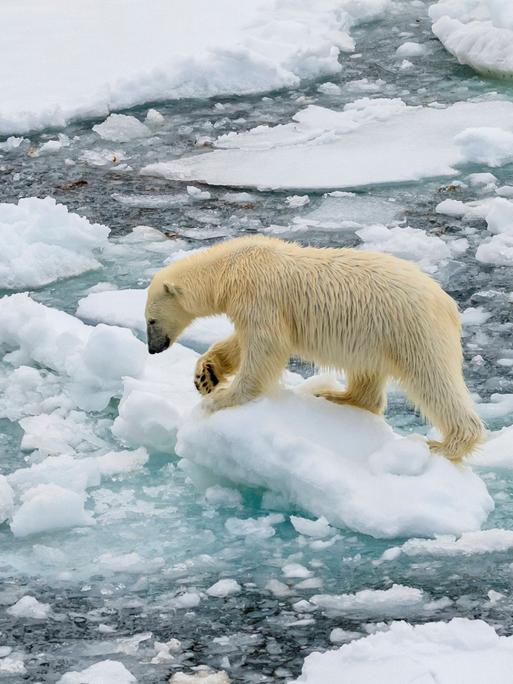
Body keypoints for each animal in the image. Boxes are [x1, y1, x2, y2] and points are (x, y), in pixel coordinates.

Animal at [145, 235, 484, 464]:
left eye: (151, 320)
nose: (152, 350)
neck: (233, 267)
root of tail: (447, 303)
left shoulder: (260, 297)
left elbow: (266, 347)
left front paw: (221, 399)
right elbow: (243, 342)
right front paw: (207, 375)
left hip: (411, 330)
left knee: (432, 380)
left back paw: (444, 445)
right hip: (374, 335)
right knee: (368, 374)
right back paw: (335, 395)